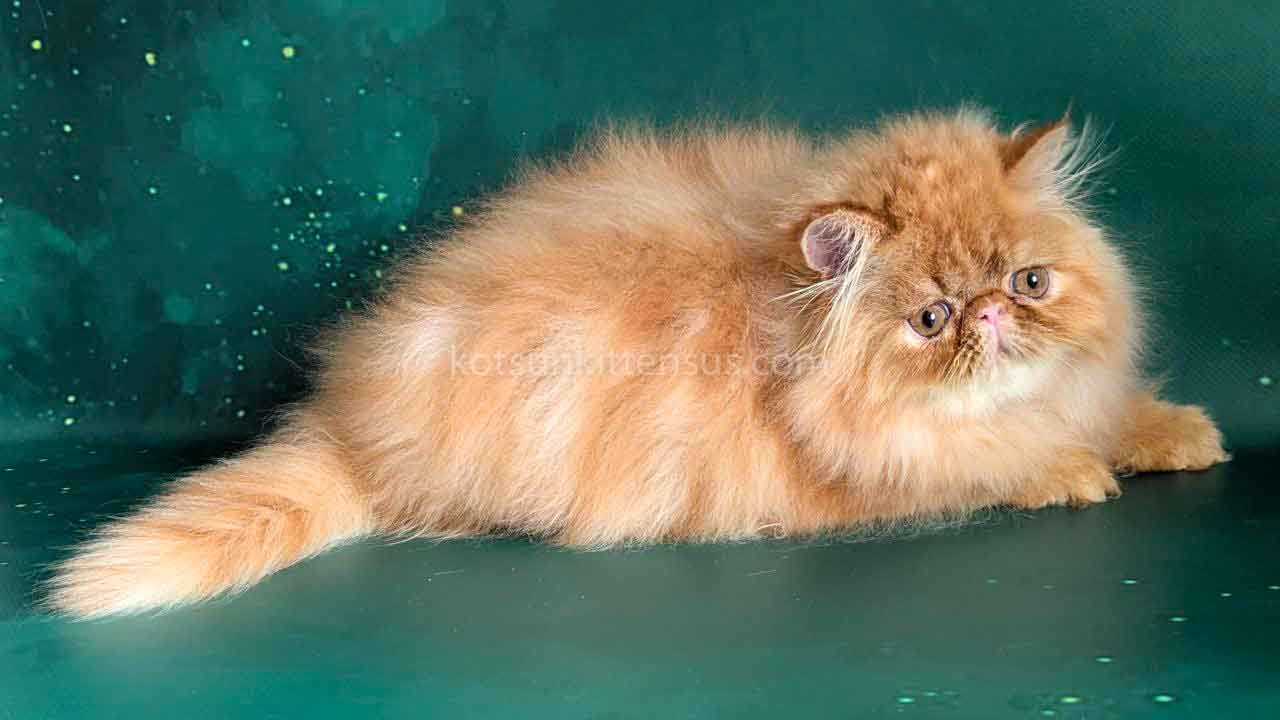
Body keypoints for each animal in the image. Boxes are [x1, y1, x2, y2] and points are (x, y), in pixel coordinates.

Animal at [45, 108, 1228, 618]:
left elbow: (1107, 409)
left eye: (1027, 284)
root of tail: (351, 421)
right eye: (931, 320)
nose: (988, 315)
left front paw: (1172, 433)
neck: (779, 323)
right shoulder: (870, 475)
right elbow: (991, 465)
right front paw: (1068, 470)